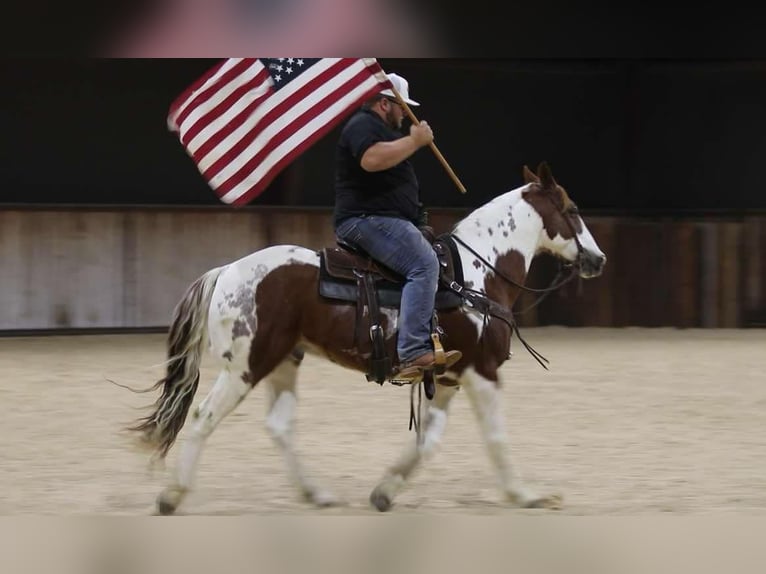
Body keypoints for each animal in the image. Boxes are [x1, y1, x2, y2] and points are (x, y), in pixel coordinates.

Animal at [130, 162, 608, 516]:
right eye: (571, 208)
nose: (598, 259)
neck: (478, 274)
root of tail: (226, 271)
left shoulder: (448, 377)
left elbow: (427, 441)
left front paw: (385, 491)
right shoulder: (483, 371)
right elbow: (496, 439)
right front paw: (527, 496)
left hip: (284, 361)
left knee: (279, 427)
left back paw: (316, 494)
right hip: (245, 367)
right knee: (202, 417)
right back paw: (171, 496)